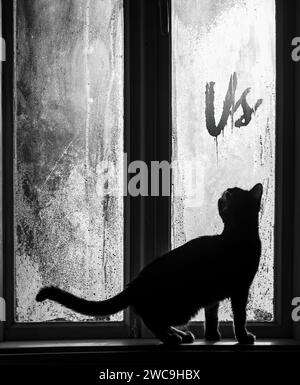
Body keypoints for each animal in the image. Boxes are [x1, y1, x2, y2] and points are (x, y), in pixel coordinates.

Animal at [35, 182, 262, 344]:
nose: (223, 193)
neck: (237, 233)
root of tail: (135, 283)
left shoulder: (213, 296)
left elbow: (212, 315)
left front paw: (213, 336)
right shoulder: (241, 288)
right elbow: (239, 316)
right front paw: (244, 337)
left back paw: (181, 335)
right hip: (182, 305)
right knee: (151, 319)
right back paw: (172, 338)